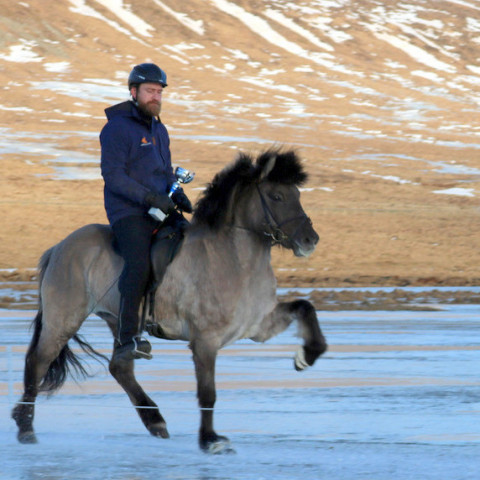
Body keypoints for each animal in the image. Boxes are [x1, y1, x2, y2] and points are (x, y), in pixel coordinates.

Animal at [12, 147, 326, 454]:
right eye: (276, 196)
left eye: (297, 195)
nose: (310, 240)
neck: (235, 260)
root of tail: (59, 247)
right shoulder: (205, 341)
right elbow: (207, 393)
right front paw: (210, 440)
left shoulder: (258, 326)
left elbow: (305, 308)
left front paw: (305, 357)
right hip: (64, 319)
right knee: (37, 362)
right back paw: (26, 428)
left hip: (119, 320)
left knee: (120, 368)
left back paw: (155, 421)